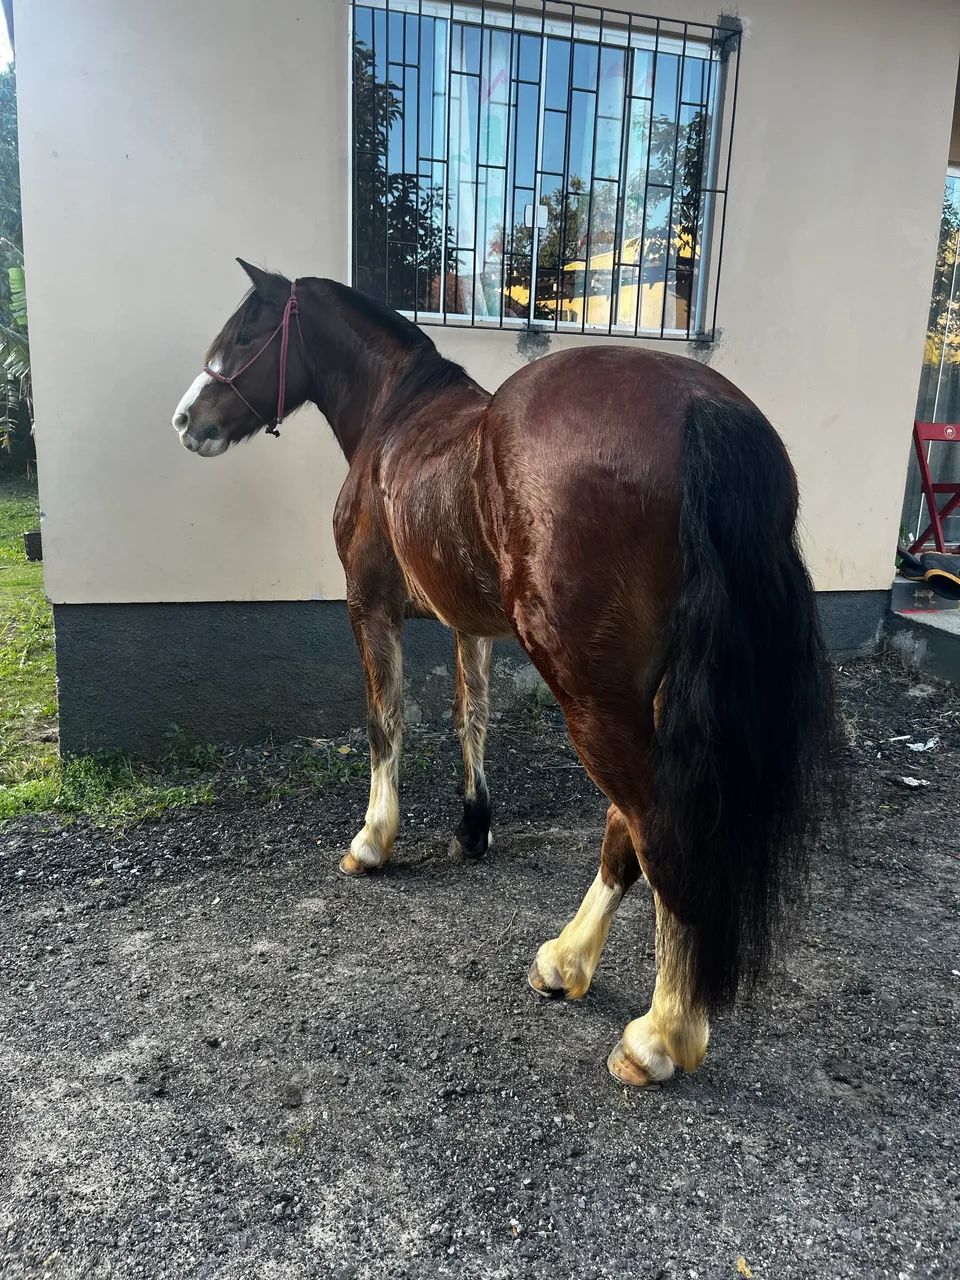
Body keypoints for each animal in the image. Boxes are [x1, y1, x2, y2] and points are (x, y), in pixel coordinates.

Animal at [172, 259, 838, 1086]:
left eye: (247, 331)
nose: (186, 419)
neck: (397, 420)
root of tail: (702, 410)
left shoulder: (371, 605)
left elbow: (385, 721)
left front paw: (373, 840)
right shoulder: (472, 624)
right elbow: (473, 715)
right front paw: (473, 827)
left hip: (588, 686)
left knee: (656, 828)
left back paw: (661, 1035)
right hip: (636, 693)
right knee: (628, 825)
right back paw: (567, 961)